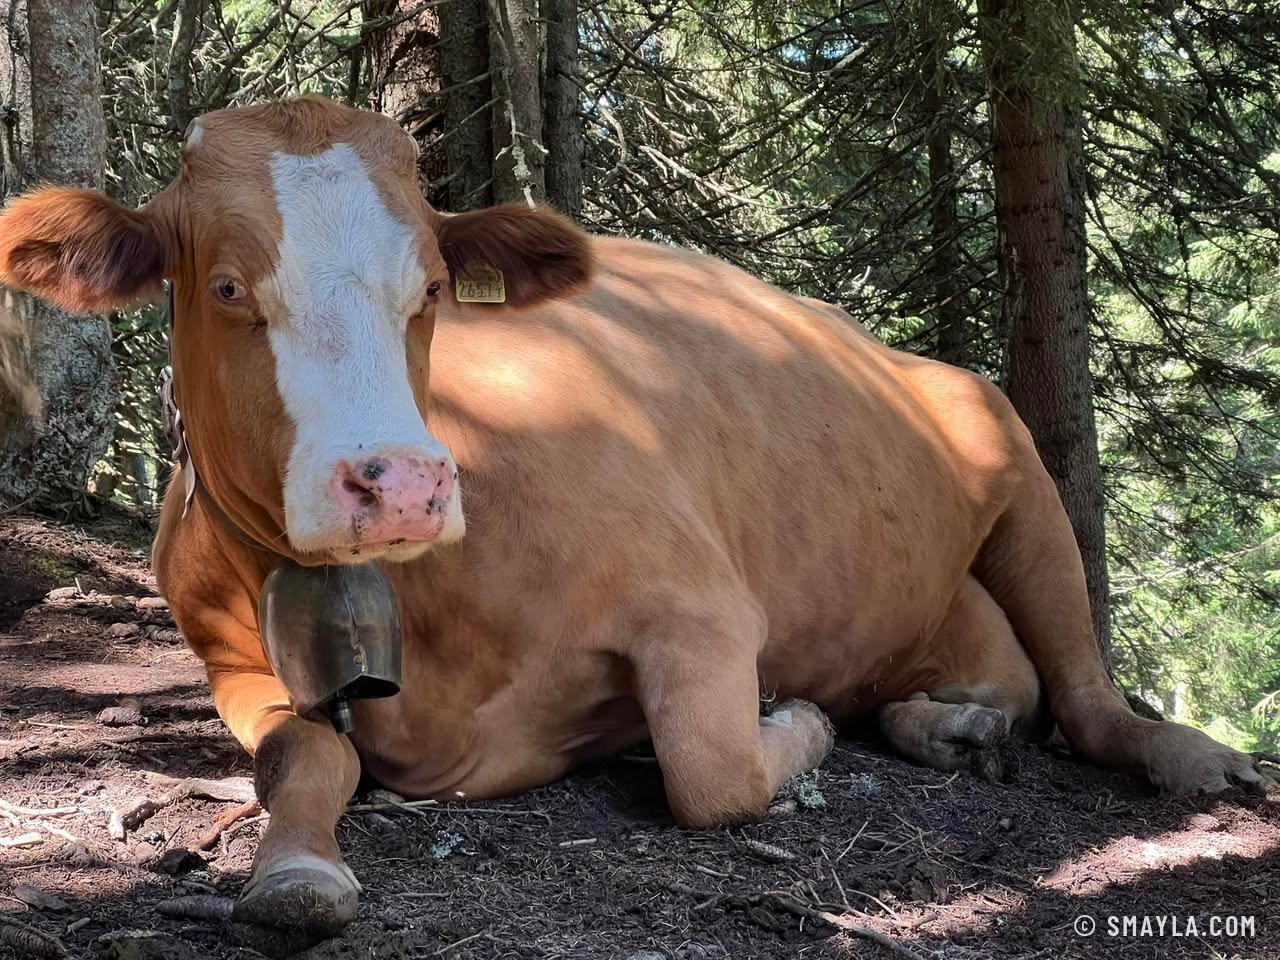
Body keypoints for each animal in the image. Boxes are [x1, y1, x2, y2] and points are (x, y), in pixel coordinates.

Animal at [0, 97, 1266, 935]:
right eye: (224, 286)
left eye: (430, 291)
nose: (400, 483)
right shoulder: (222, 653)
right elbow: (303, 753)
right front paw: (295, 872)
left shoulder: (699, 608)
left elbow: (714, 774)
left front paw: (791, 725)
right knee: (991, 683)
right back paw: (951, 724)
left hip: (1011, 457)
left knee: (1086, 697)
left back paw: (1192, 758)